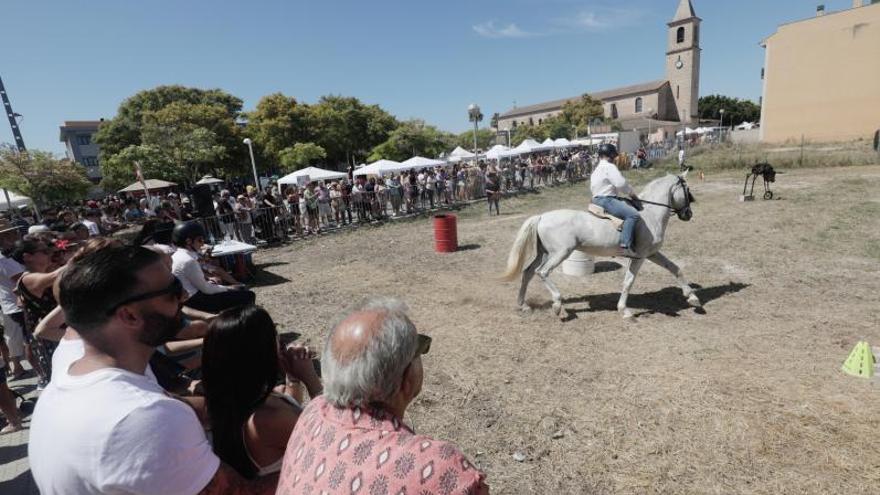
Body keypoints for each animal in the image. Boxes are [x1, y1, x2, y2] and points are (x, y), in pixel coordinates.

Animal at [502, 174, 700, 320]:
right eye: (687, 190)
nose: (689, 214)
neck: (650, 215)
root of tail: (542, 216)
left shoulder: (652, 253)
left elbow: (674, 268)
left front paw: (692, 297)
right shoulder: (640, 256)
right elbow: (629, 282)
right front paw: (624, 310)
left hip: (544, 253)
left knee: (528, 272)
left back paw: (523, 305)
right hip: (560, 253)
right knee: (542, 272)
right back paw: (558, 305)